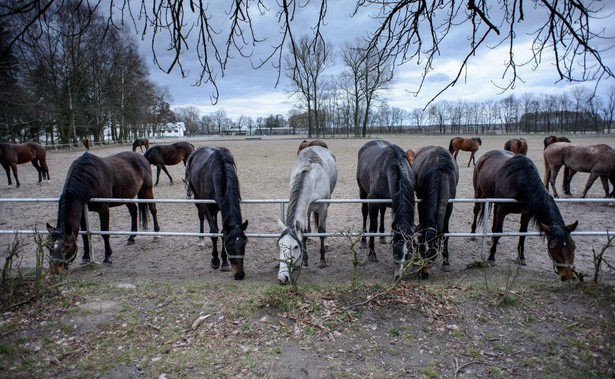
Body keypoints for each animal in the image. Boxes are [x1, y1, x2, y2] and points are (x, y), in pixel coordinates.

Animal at [184, 147, 249, 280]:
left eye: (245, 242)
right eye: (229, 245)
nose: (239, 274)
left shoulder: (222, 205)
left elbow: (223, 231)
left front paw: (224, 262)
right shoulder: (206, 205)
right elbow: (213, 231)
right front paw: (215, 260)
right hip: (197, 198)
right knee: (201, 217)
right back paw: (201, 241)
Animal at [278, 145, 340, 284]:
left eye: (296, 247)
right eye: (279, 245)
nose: (282, 278)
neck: (311, 178)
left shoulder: (322, 207)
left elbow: (321, 231)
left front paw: (322, 260)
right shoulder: (305, 209)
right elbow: (305, 232)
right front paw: (305, 261)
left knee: (324, 225)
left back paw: (326, 244)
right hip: (309, 209)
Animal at [356, 140, 418, 282]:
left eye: (409, 253)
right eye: (395, 251)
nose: (398, 276)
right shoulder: (373, 204)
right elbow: (372, 228)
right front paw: (372, 253)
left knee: (383, 212)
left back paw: (382, 237)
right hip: (362, 191)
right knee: (364, 213)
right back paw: (363, 241)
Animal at [414, 145, 458, 276]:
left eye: (433, 255)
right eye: (421, 250)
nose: (423, 274)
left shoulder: (449, 205)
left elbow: (445, 233)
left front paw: (446, 261)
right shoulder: (422, 201)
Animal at [472, 150, 584, 280]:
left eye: (573, 247)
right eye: (553, 247)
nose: (568, 276)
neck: (520, 182)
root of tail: (484, 156)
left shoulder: (526, 214)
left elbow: (523, 234)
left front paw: (521, 257)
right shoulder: (503, 210)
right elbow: (500, 232)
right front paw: (491, 257)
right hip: (479, 193)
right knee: (476, 210)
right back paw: (473, 233)